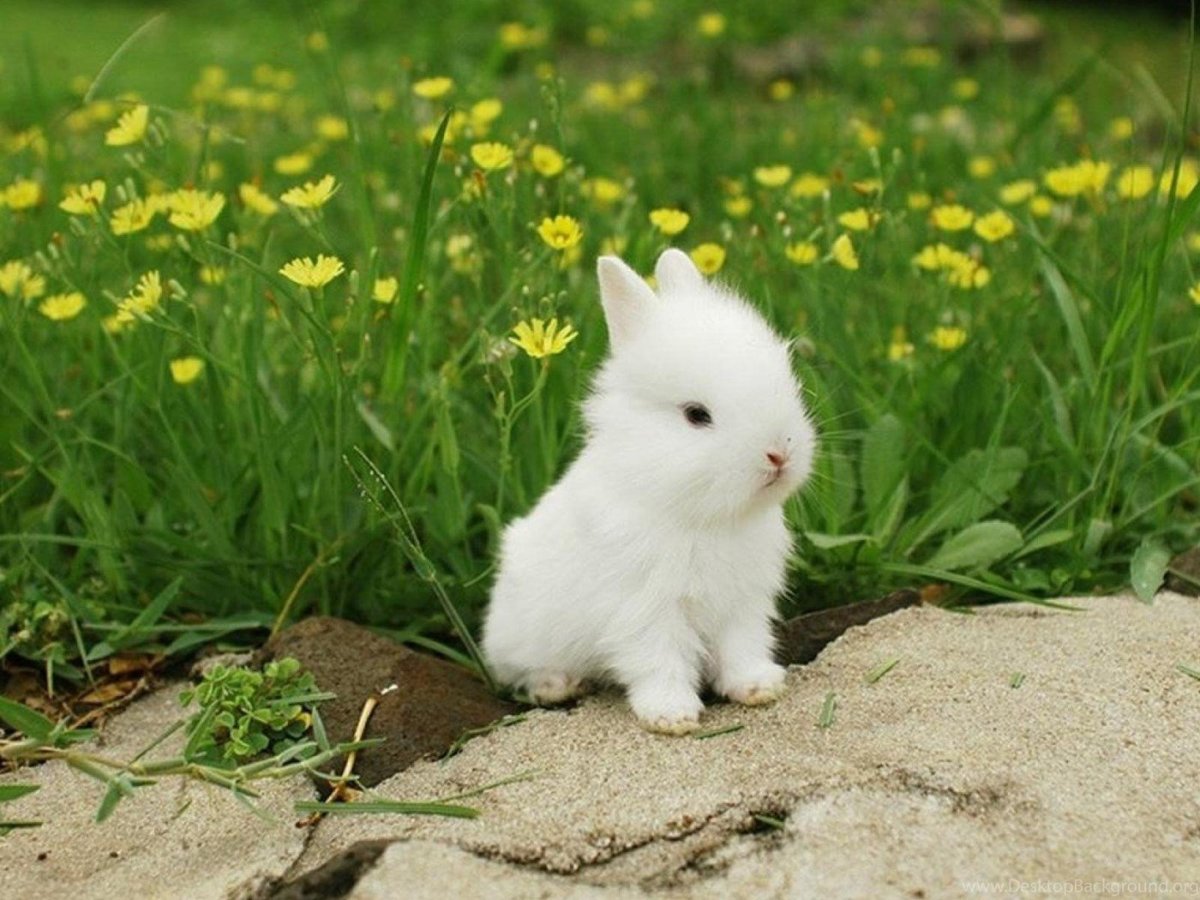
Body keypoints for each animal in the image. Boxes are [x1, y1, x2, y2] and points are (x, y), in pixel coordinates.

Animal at [481, 248, 816, 734]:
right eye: (696, 415)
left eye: (787, 385)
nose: (779, 454)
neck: (701, 515)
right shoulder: (645, 610)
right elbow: (659, 661)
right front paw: (671, 716)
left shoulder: (743, 604)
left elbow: (742, 648)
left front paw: (758, 688)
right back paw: (556, 686)